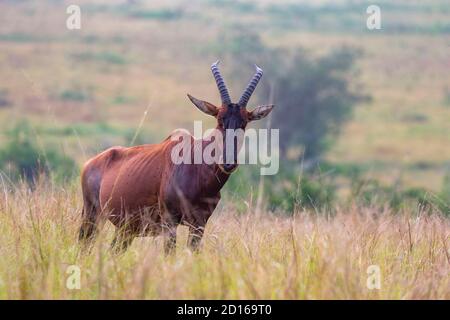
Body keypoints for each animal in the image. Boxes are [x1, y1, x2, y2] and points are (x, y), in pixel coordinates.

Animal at [78, 62, 274, 252]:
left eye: (244, 123)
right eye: (219, 120)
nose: (228, 163)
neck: (196, 166)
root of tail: (90, 163)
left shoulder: (199, 224)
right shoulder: (169, 220)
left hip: (126, 229)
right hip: (92, 215)